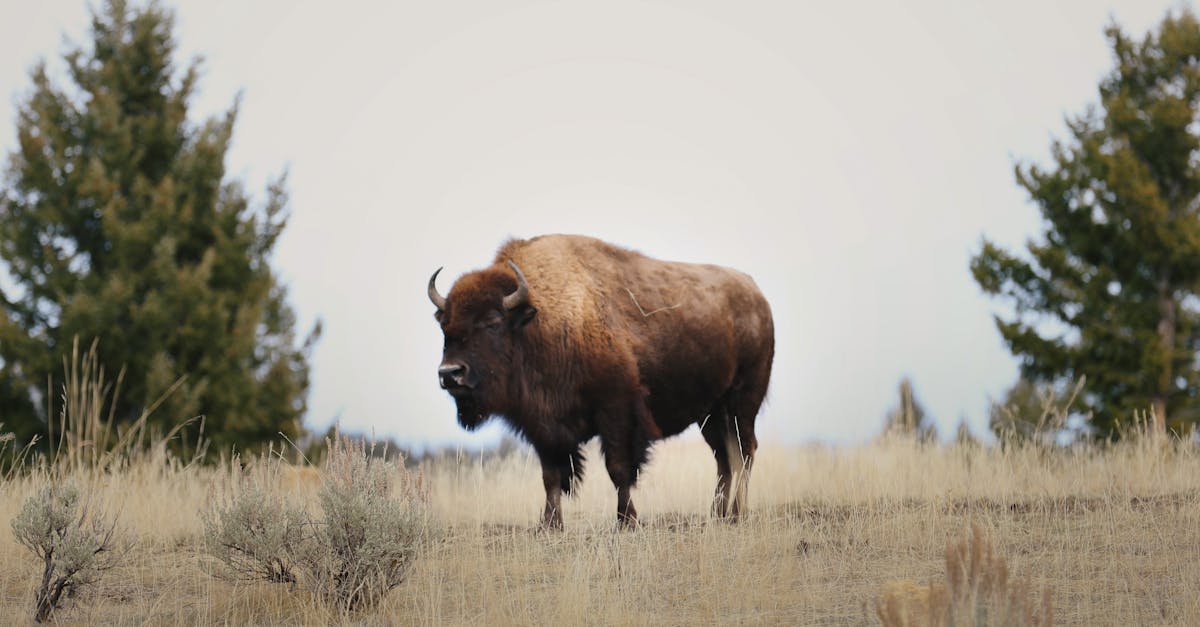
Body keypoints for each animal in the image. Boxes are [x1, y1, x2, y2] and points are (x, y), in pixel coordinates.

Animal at [428, 234, 774, 528]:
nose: (450, 373)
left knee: (744, 451)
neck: (542, 319)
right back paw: (718, 514)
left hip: (742, 403)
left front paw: (626, 521)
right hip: (710, 413)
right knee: (724, 458)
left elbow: (618, 469)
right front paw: (550, 525)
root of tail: (757, 296)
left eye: (492, 323)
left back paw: (738, 514)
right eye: (445, 327)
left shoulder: (616, 411)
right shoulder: (542, 425)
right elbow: (551, 476)